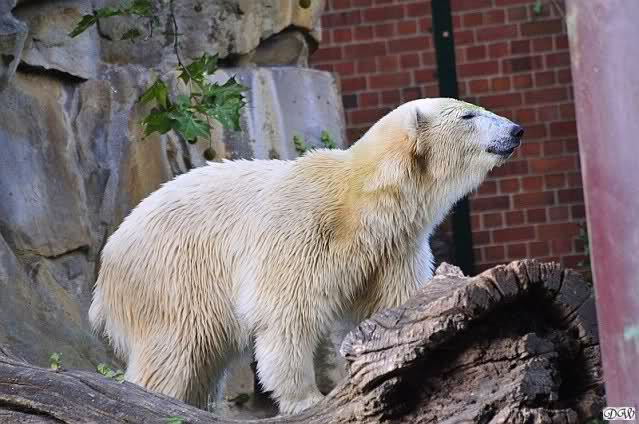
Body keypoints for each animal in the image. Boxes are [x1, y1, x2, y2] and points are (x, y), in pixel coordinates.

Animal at [89, 97, 523, 415]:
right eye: (469, 114)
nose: (516, 129)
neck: (363, 202)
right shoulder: (302, 231)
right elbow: (286, 314)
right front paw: (308, 399)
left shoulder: (392, 249)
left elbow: (392, 307)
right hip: (170, 276)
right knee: (172, 351)